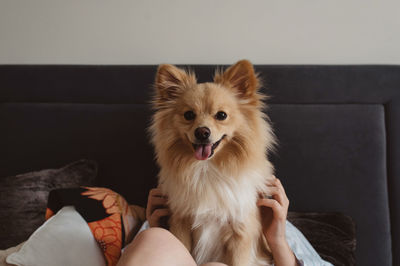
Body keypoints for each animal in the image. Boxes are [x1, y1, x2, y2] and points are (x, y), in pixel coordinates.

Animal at [149, 60, 276, 266]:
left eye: (221, 115)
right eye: (189, 115)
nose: (202, 132)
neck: (207, 168)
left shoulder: (240, 234)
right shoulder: (181, 224)